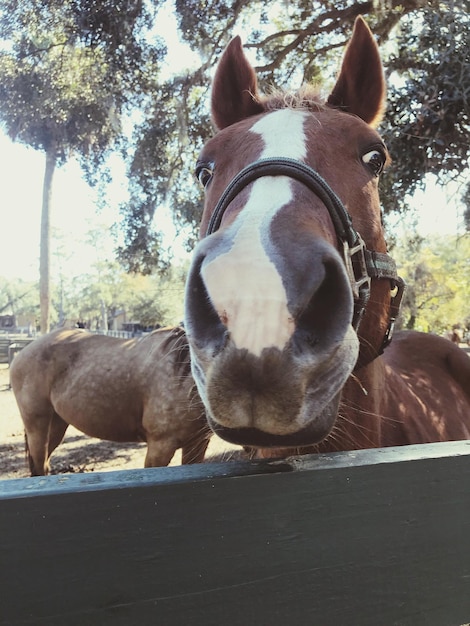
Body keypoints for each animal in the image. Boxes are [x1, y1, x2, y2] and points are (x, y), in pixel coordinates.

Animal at [8, 326, 211, 472]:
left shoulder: (197, 443)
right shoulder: (160, 446)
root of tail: (23, 352)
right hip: (36, 426)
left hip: (57, 424)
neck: (183, 373)